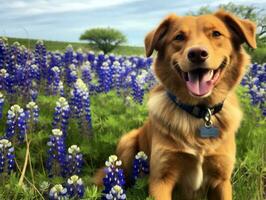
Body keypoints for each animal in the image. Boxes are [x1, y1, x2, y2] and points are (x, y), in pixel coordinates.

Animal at [93, 10, 256, 199]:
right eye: (179, 37)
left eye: (216, 34)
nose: (197, 53)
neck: (200, 113)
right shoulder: (161, 178)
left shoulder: (221, 180)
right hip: (127, 141)